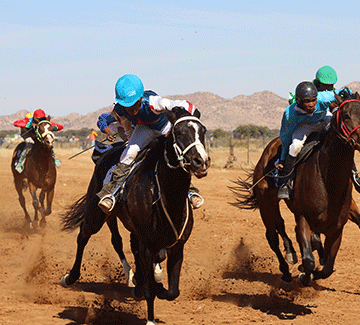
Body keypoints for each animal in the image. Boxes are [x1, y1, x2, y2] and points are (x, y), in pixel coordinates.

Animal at [60, 107, 210, 324]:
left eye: (203, 131)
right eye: (179, 132)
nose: (201, 161)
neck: (167, 197)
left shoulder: (177, 245)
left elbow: (173, 291)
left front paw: (158, 286)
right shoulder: (147, 244)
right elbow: (149, 288)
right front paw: (150, 316)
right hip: (96, 214)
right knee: (84, 236)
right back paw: (71, 277)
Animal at [231, 90, 360, 284]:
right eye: (345, 115)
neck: (328, 183)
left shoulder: (337, 228)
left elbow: (327, 268)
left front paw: (313, 271)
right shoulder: (304, 219)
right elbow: (309, 260)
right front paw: (304, 274)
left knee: (281, 225)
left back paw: (291, 254)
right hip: (266, 202)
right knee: (272, 236)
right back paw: (286, 268)